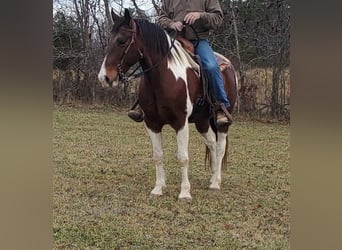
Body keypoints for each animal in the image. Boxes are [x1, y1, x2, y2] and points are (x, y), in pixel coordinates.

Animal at [98, 8, 238, 202]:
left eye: (122, 41)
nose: (104, 77)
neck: (163, 76)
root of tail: (229, 64)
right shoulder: (152, 123)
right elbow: (158, 156)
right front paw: (158, 188)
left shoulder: (181, 123)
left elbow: (183, 157)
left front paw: (185, 192)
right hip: (202, 121)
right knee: (210, 141)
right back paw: (212, 177)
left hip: (222, 121)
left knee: (220, 146)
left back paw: (216, 182)